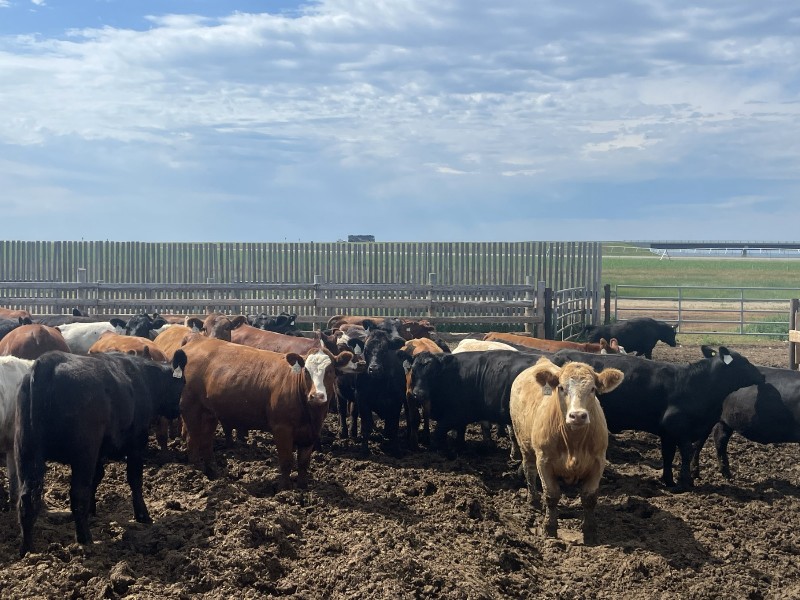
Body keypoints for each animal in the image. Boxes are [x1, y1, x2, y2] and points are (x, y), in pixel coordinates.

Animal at [15, 349, 188, 556]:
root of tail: (47, 361)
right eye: (183, 383)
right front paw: (143, 515)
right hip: (84, 452)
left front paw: (93, 511)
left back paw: (27, 549)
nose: (177, 411)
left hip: (26, 452)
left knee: (27, 499)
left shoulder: (99, 453)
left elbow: (96, 479)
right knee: (77, 493)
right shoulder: (136, 443)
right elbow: (135, 479)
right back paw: (85, 539)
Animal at [177, 334, 357, 488]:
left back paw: (214, 473)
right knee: (192, 440)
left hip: (209, 414)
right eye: (306, 371)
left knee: (206, 442)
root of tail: (196, 339)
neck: (310, 414)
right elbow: (286, 462)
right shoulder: (282, 429)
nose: (317, 396)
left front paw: (302, 488)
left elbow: (303, 464)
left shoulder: (310, 434)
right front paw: (285, 489)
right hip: (191, 409)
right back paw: (198, 473)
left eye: (330, 371)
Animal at [408, 349, 548, 456]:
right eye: (413, 371)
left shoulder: (453, 415)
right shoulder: (460, 418)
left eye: (432, 372)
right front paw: (459, 449)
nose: (418, 393)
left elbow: (438, 435)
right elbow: (460, 433)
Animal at [510, 357, 623, 544]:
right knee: (529, 470)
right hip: (524, 443)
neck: (573, 443)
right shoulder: (544, 461)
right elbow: (551, 495)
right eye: (561, 387)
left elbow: (589, 498)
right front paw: (549, 528)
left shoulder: (598, 462)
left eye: (593, 389)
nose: (577, 416)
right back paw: (533, 501)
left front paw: (590, 533)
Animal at [550, 346, 765, 489]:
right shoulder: (679, 429)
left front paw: (669, 480)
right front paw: (686, 482)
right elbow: (686, 454)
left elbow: (668, 456)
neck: (695, 384)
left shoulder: (668, 433)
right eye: (744, 362)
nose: (762, 376)